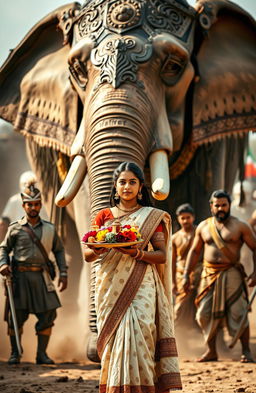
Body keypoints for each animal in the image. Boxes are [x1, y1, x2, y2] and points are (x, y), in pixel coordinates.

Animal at [0, 0, 255, 360]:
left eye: (174, 66)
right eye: (77, 70)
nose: (95, 352)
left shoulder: (211, 138)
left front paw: (188, 338)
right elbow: (83, 198)